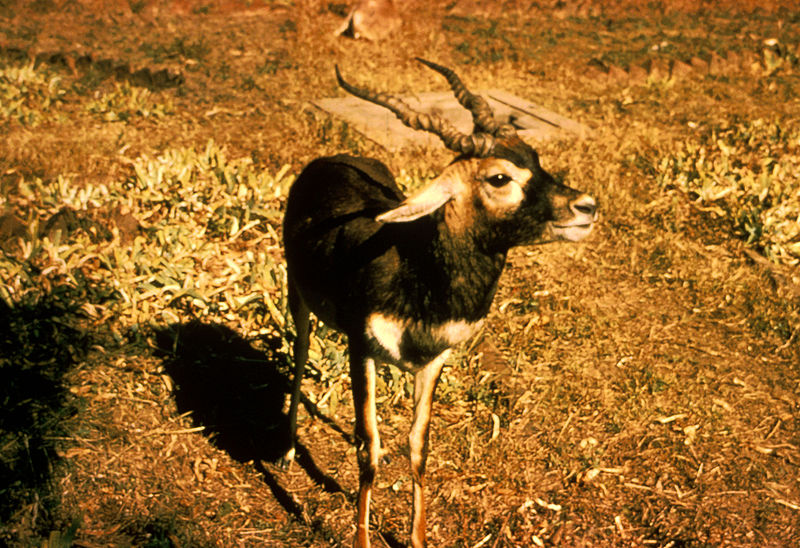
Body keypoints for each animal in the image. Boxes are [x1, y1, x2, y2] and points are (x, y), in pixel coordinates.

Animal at [284, 57, 596, 544]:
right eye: (500, 177)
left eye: (537, 160)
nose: (586, 206)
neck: (418, 274)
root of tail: (333, 158)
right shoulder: (361, 350)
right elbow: (369, 446)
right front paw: (361, 537)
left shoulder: (434, 360)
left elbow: (418, 446)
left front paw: (417, 537)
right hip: (296, 295)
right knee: (298, 352)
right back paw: (285, 452)